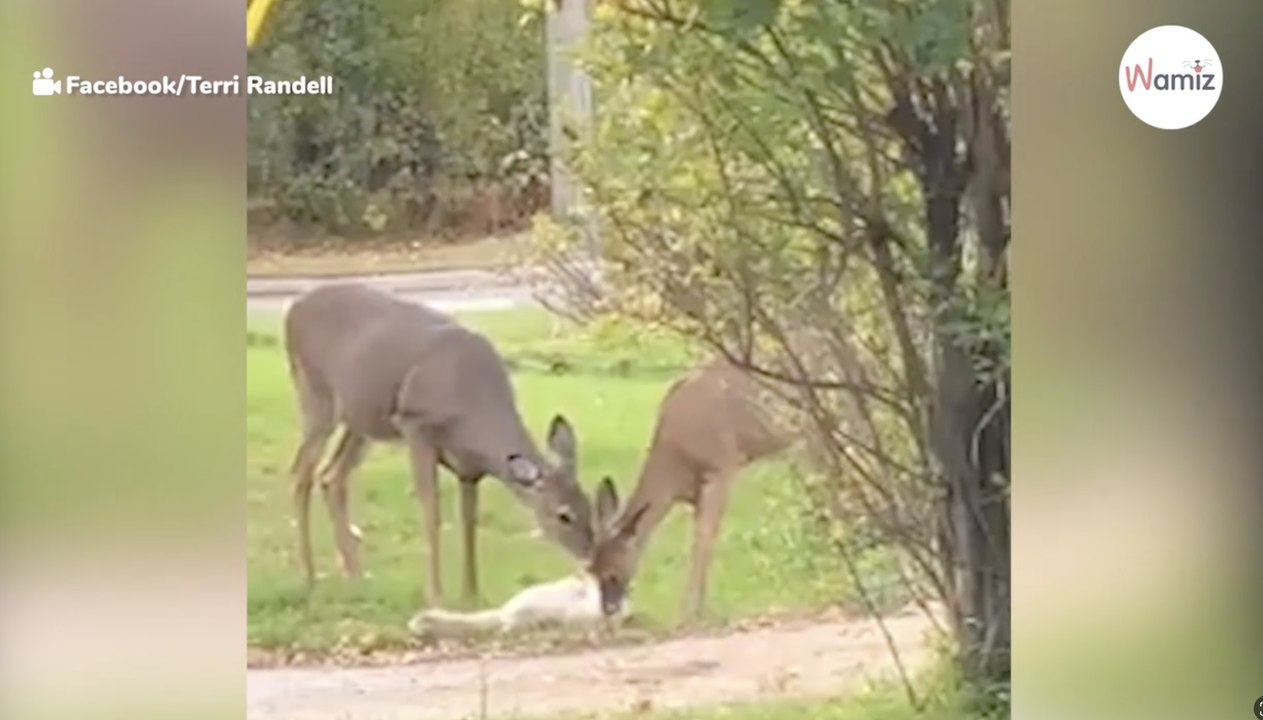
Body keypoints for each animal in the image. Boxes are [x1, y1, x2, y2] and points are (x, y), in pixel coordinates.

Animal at [283, 283, 599, 608]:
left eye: (589, 506)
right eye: (563, 515)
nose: (590, 559)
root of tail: (295, 307)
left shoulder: (469, 469)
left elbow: (469, 520)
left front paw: (472, 594)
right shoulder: (416, 426)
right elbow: (431, 512)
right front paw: (435, 595)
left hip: (361, 419)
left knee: (330, 476)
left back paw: (356, 577)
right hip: (316, 395)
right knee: (301, 472)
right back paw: (308, 575)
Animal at [586, 357, 790, 624]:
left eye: (613, 571)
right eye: (592, 569)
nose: (609, 609)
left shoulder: (721, 467)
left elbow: (703, 538)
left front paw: (691, 612)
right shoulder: (695, 493)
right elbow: (696, 539)